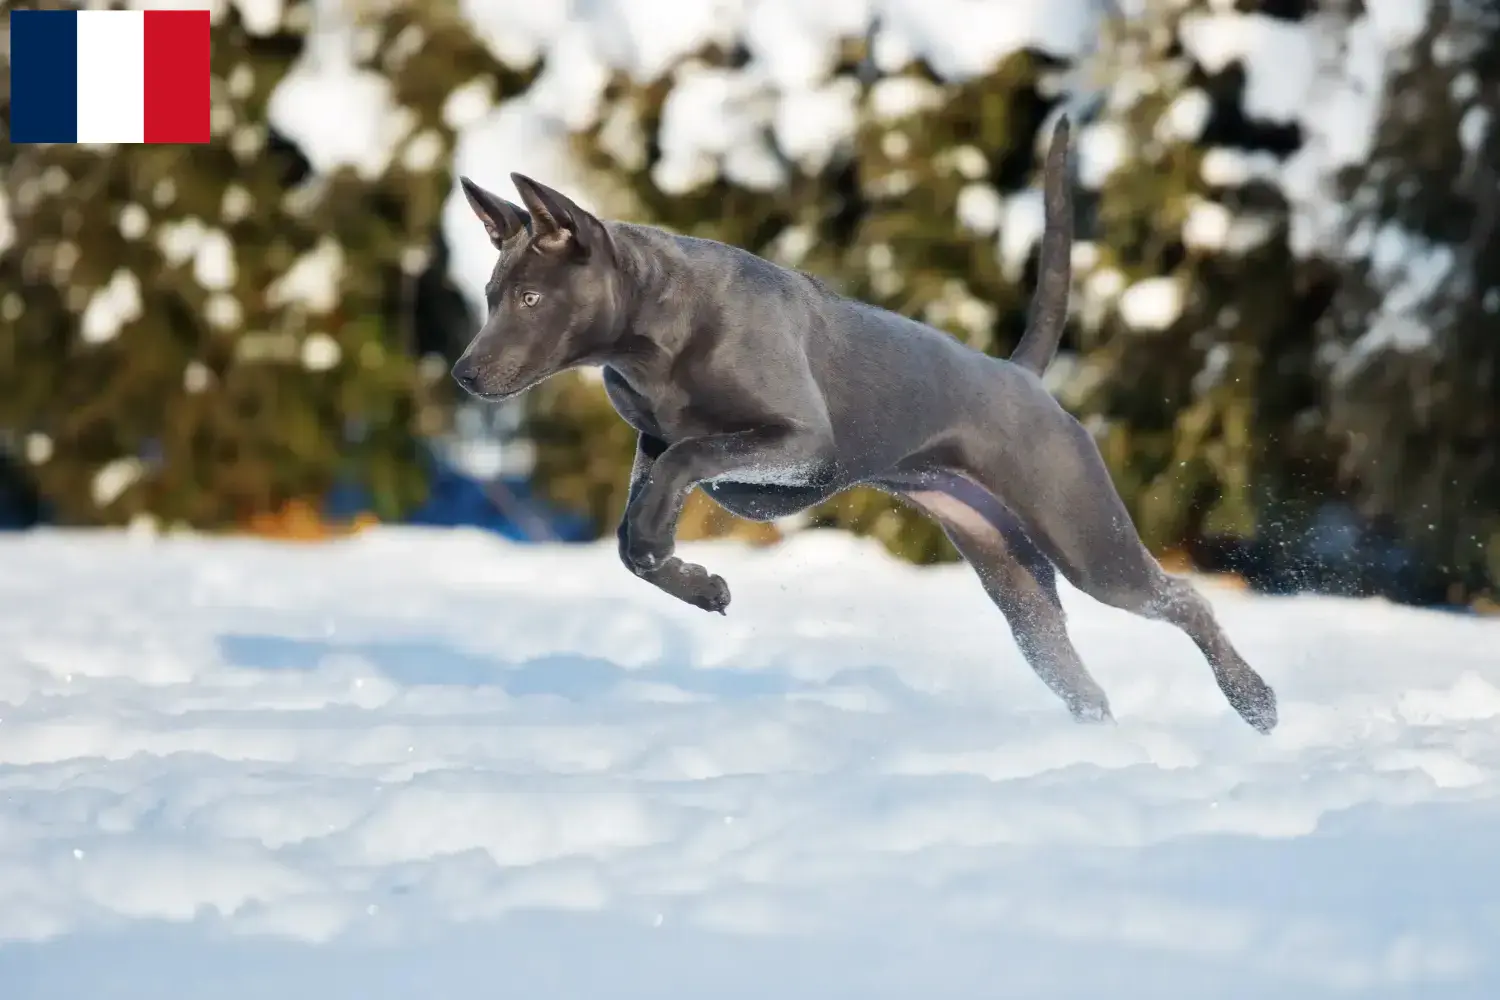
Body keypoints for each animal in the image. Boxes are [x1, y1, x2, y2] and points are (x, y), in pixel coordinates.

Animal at [447, 119, 1278, 734]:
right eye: (491, 295)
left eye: (530, 299)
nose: (464, 373)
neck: (653, 330)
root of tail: (1021, 376)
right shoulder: (651, 445)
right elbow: (636, 526)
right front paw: (698, 584)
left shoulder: (801, 444)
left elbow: (686, 465)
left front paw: (671, 555)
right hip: (1015, 583)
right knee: (1079, 677)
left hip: (1085, 537)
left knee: (1184, 599)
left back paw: (1255, 702)